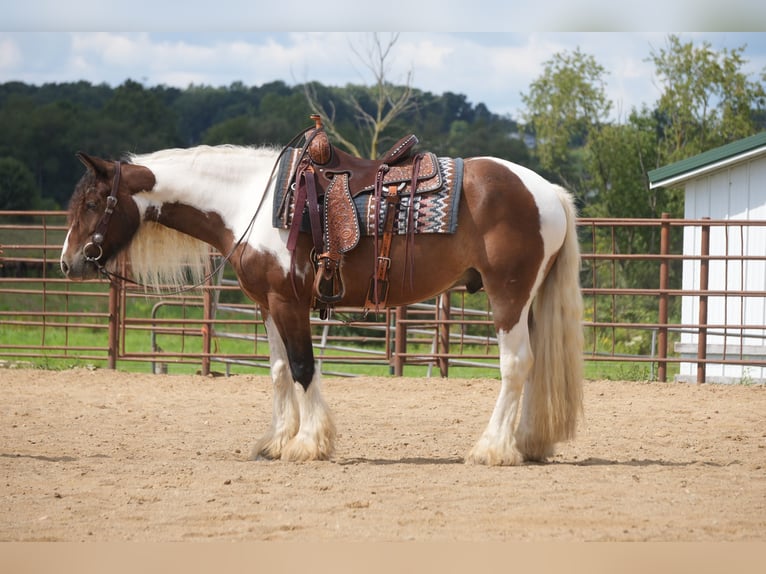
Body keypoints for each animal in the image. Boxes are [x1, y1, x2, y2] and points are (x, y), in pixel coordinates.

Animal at [59, 133, 584, 466]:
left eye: (93, 204)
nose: (68, 262)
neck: (249, 202)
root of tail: (547, 192)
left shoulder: (288, 303)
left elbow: (303, 367)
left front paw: (308, 443)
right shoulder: (267, 305)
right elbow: (276, 371)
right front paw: (276, 441)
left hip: (508, 296)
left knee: (515, 366)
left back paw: (492, 449)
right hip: (527, 302)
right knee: (534, 366)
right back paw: (527, 444)